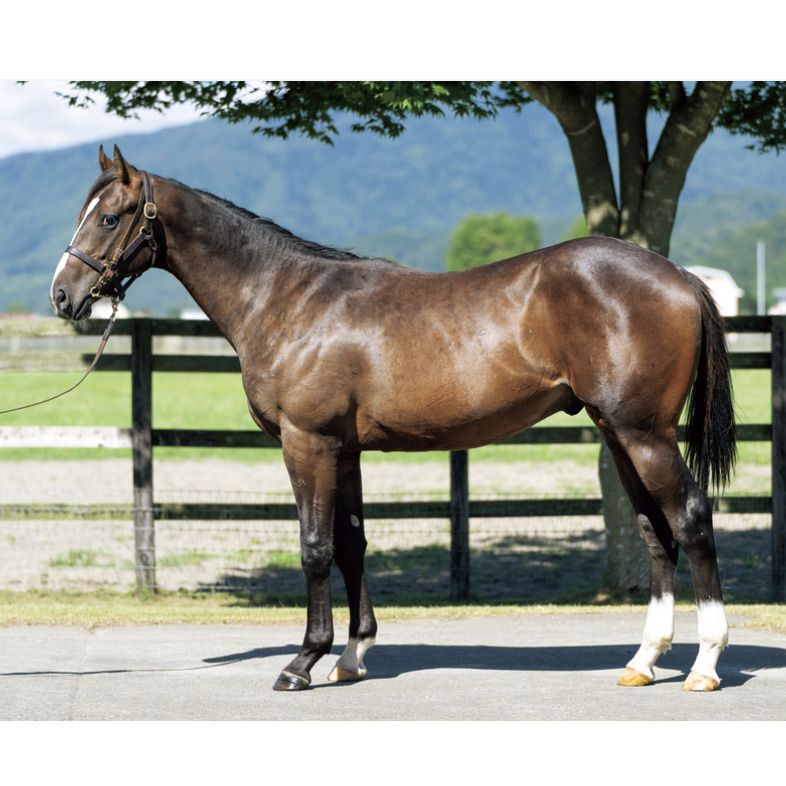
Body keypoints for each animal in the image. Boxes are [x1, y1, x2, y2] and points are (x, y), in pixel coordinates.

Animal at [50, 145, 736, 693]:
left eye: (109, 216)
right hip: (618, 434)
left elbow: (316, 547)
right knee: (655, 532)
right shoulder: (344, 449)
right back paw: (643, 661)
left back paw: (705, 665)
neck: (286, 297)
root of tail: (678, 275)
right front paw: (353, 656)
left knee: (691, 520)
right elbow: (353, 543)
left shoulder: (307, 444)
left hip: (645, 435)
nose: (63, 295)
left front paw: (302, 662)